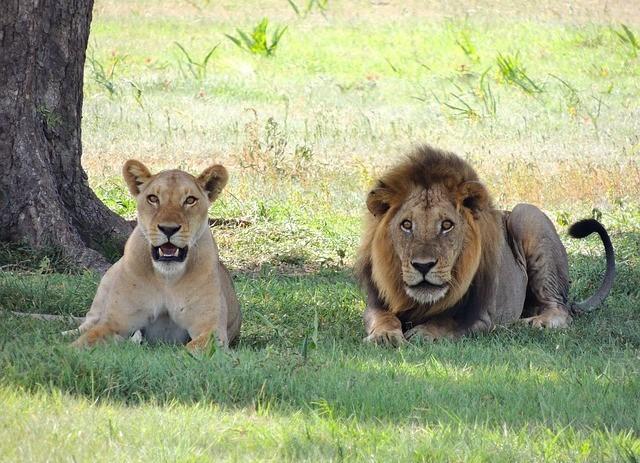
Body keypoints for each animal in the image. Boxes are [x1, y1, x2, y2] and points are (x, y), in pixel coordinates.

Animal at [70, 161, 240, 350]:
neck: (167, 278)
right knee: (87, 323)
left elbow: (192, 349)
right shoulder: (114, 323)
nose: (168, 228)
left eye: (190, 200)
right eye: (153, 198)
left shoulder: (212, 330)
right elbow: (84, 342)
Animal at [358, 145, 612, 344]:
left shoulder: (483, 315)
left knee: (560, 309)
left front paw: (424, 333)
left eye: (447, 225)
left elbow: (449, 322)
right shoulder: (376, 303)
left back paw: (533, 323)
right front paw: (385, 336)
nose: (423, 266)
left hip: (526, 215)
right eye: (407, 225)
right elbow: (383, 318)